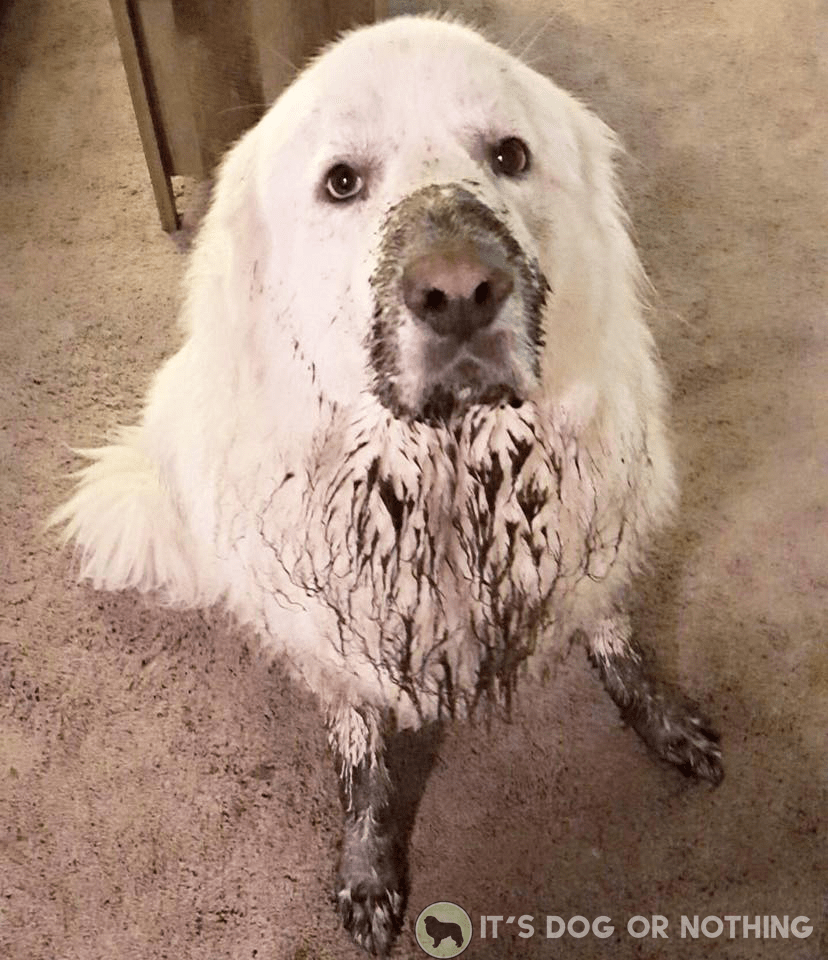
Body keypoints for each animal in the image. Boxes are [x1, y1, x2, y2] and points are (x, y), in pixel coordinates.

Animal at [55, 18, 720, 956]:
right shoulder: (333, 630)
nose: (460, 294)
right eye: (342, 182)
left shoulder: (591, 526)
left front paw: (655, 711)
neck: (447, 472)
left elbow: (612, 628)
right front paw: (368, 868)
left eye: (510, 155)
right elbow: (362, 755)